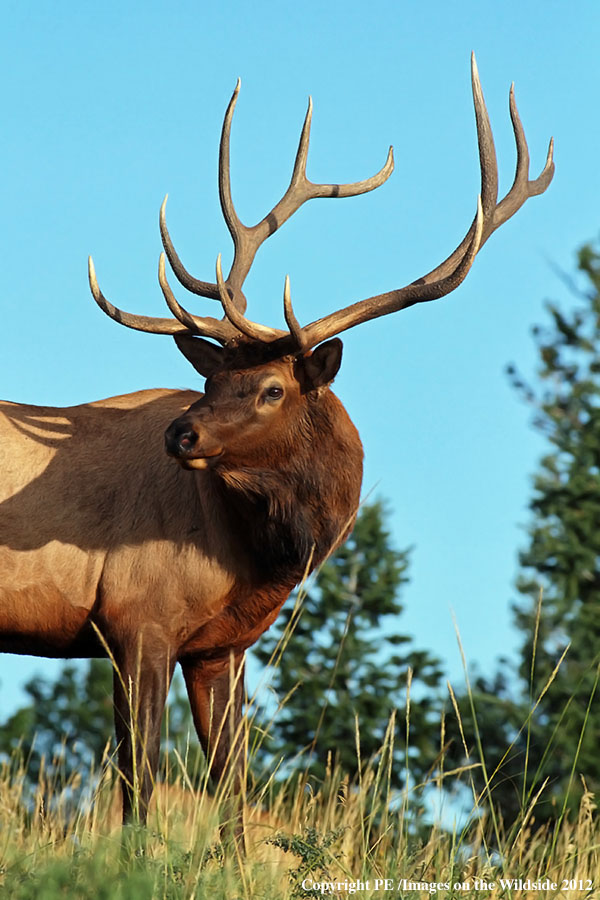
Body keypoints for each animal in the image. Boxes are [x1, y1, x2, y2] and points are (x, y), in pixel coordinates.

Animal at [0, 54, 552, 828]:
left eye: (271, 389)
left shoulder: (218, 648)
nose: (181, 432)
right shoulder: (136, 618)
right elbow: (139, 787)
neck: (257, 558)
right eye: (211, 379)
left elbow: (233, 785)